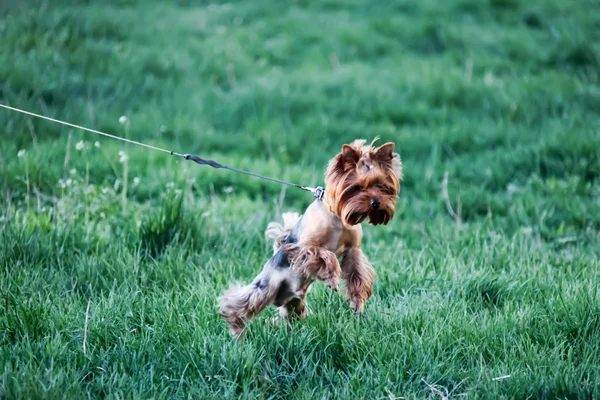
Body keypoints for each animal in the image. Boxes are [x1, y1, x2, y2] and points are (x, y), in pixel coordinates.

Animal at [218, 139, 400, 336]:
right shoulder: (303, 247)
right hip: (267, 286)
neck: (338, 217)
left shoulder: (353, 250)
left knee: (287, 315)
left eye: (381, 186)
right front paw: (332, 277)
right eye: (358, 187)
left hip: (293, 303)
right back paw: (235, 327)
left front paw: (357, 301)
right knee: (242, 301)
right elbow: (326, 255)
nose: (376, 203)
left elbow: (357, 272)